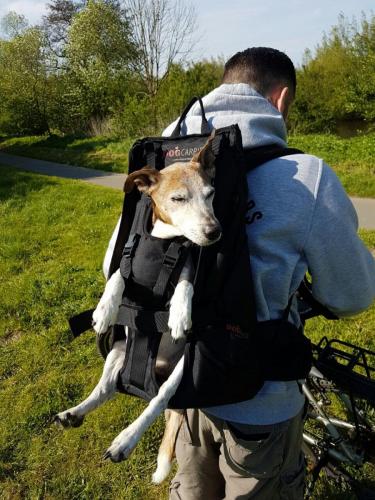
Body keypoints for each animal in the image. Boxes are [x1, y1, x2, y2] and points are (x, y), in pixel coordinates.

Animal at [54, 134, 222, 484]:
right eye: (178, 198)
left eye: (210, 194)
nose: (214, 232)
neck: (163, 241)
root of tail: (156, 370)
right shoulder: (127, 268)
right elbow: (117, 277)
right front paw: (105, 309)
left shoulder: (188, 264)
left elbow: (186, 283)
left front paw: (179, 313)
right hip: (119, 350)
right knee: (106, 389)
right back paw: (74, 413)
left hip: (182, 368)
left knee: (157, 400)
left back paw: (125, 440)